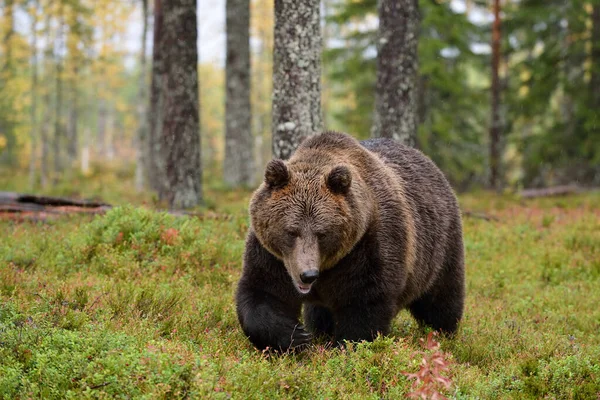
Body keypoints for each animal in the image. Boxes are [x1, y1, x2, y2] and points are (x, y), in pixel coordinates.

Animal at [234, 130, 464, 350]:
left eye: (322, 233)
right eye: (291, 231)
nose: (308, 275)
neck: (327, 267)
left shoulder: (367, 247)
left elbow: (365, 303)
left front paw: (347, 345)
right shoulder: (272, 256)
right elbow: (263, 293)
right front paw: (297, 336)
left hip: (439, 247)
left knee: (441, 298)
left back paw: (442, 333)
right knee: (318, 312)